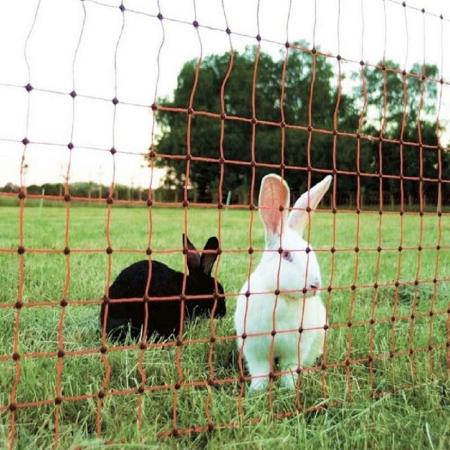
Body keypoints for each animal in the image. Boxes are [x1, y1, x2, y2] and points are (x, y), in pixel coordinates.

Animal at [234, 173, 332, 390]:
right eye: (286, 255)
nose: (315, 285)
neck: (283, 297)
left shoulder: (295, 349)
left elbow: (289, 370)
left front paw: (288, 389)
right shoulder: (255, 349)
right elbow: (260, 371)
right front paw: (256, 391)